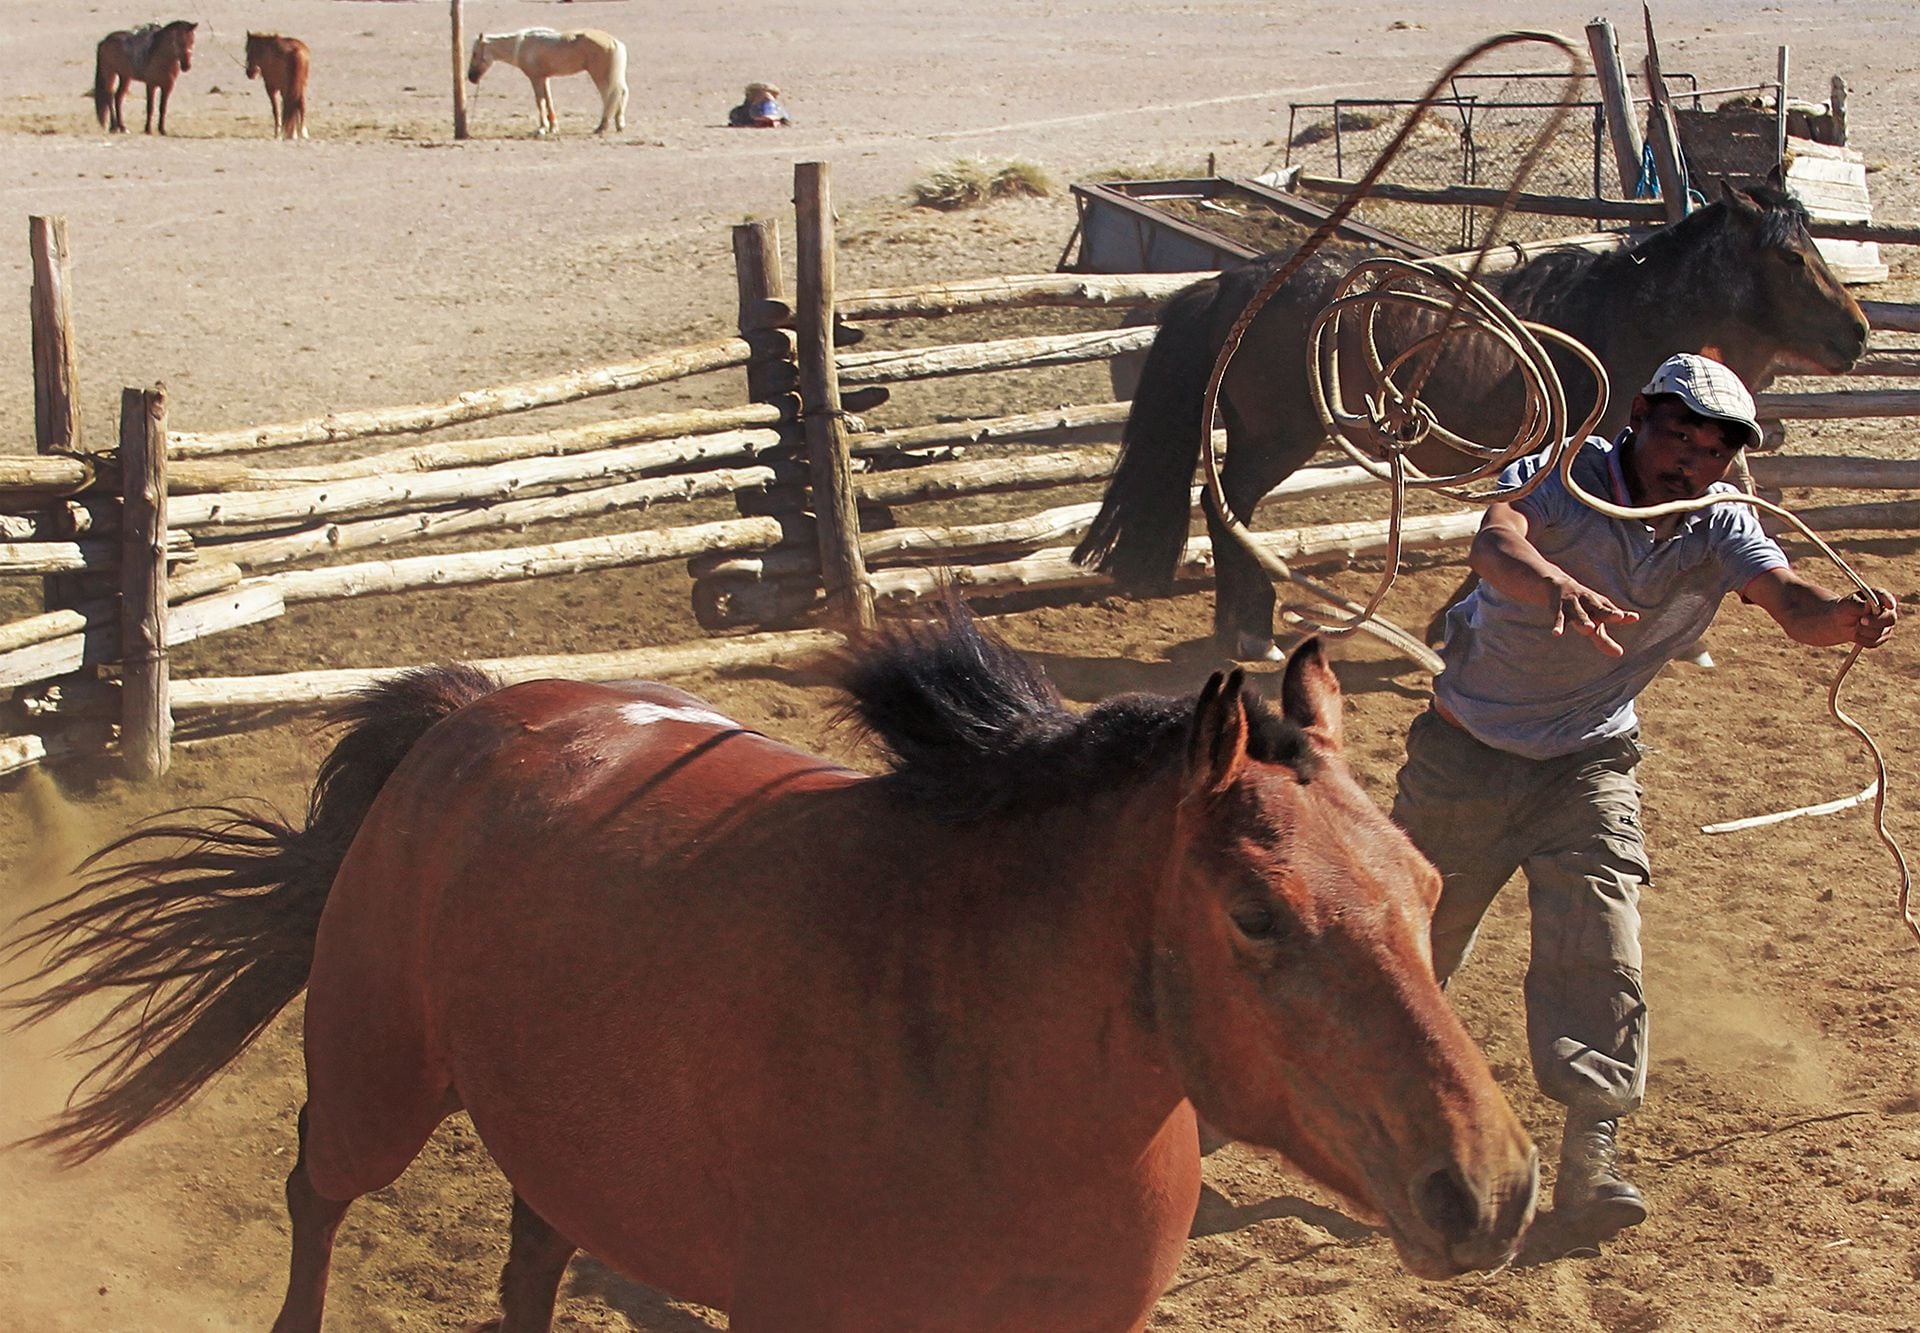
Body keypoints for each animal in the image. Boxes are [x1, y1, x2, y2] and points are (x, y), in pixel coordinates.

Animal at [7, 606, 1536, 1333]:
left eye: (1429, 885)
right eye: (1257, 913)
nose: (1494, 1186)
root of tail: (475, 708)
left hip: (560, 1136)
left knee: (530, 1259)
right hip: (377, 1087)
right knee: (315, 1199)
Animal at [466, 27, 629, 135]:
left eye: (474, 53)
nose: (471, 77)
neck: (521, 46)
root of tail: (615, 42)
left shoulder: (536, 79)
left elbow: (540, 102)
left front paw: (542, 128)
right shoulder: (545, 78)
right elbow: (549, 101)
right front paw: (553, 127)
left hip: (600, 76)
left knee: (609, 97)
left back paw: (602, 126)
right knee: (621, 93)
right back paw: (619, 124)